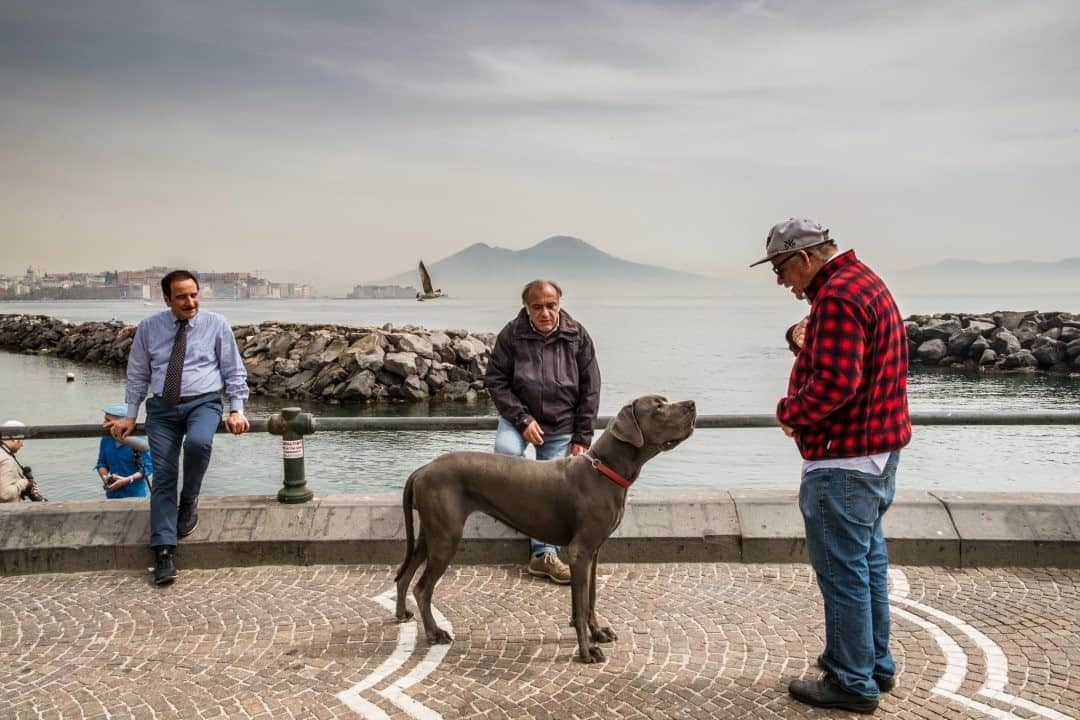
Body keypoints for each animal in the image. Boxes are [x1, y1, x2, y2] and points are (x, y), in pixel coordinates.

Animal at [393, 395, 695, 664]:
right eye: (658, 406)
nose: (691, 404)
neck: (603, 470)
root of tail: (423, 469)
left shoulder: (593, 552)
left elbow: (589, 599)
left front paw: (597, 633)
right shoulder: (580, 552)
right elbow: (582, 603)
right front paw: (587, 652)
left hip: (430, 534)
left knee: (405, 575)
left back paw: (402, 613)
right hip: (446, 538)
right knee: (422, 588)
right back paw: (434, 633)